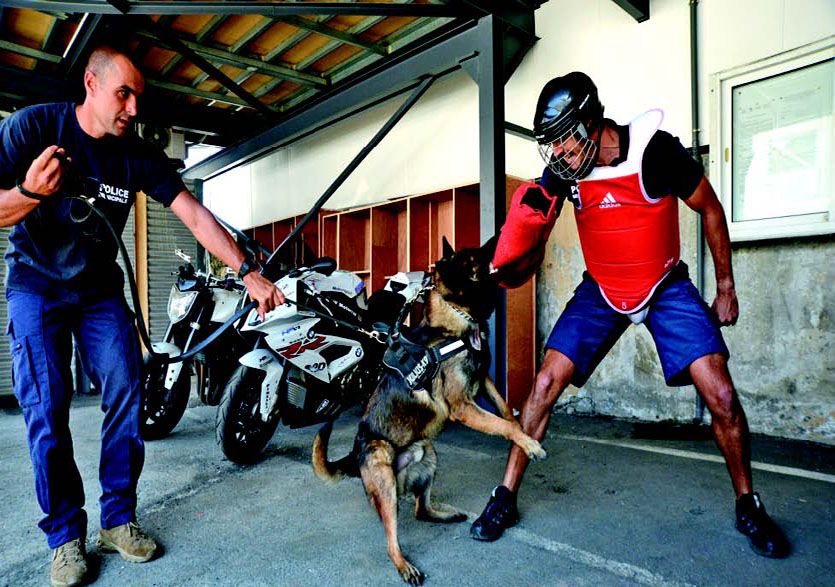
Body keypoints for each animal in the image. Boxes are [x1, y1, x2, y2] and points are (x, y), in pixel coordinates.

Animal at [312, 236, 546, 585]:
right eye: (475, 257)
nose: (499, 238)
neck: (457, 321)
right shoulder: (463, 406)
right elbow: (503, 425)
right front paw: (530, 444)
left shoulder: (484, 380)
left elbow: (505, 411)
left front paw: (522, 433)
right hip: (383, 470)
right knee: (391, 539)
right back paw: (404, 565)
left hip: (429, 456)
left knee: (421, 511)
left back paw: (447, 515)